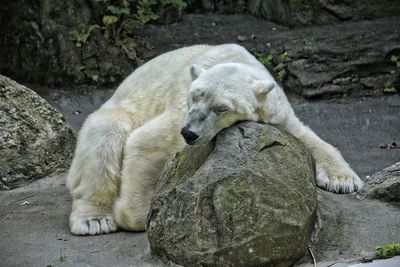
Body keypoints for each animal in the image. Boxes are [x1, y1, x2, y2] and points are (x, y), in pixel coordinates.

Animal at [68, 44, 362, 237]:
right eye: (196, 95)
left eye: (222, 108)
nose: (189, 133)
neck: (237, 61)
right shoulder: (179, 110)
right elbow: (147, 144)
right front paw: (134, 217)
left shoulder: (275, 110)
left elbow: (306, 137)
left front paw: (343, 180)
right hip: (117, 111)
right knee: (104, 138)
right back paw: (94, 220)